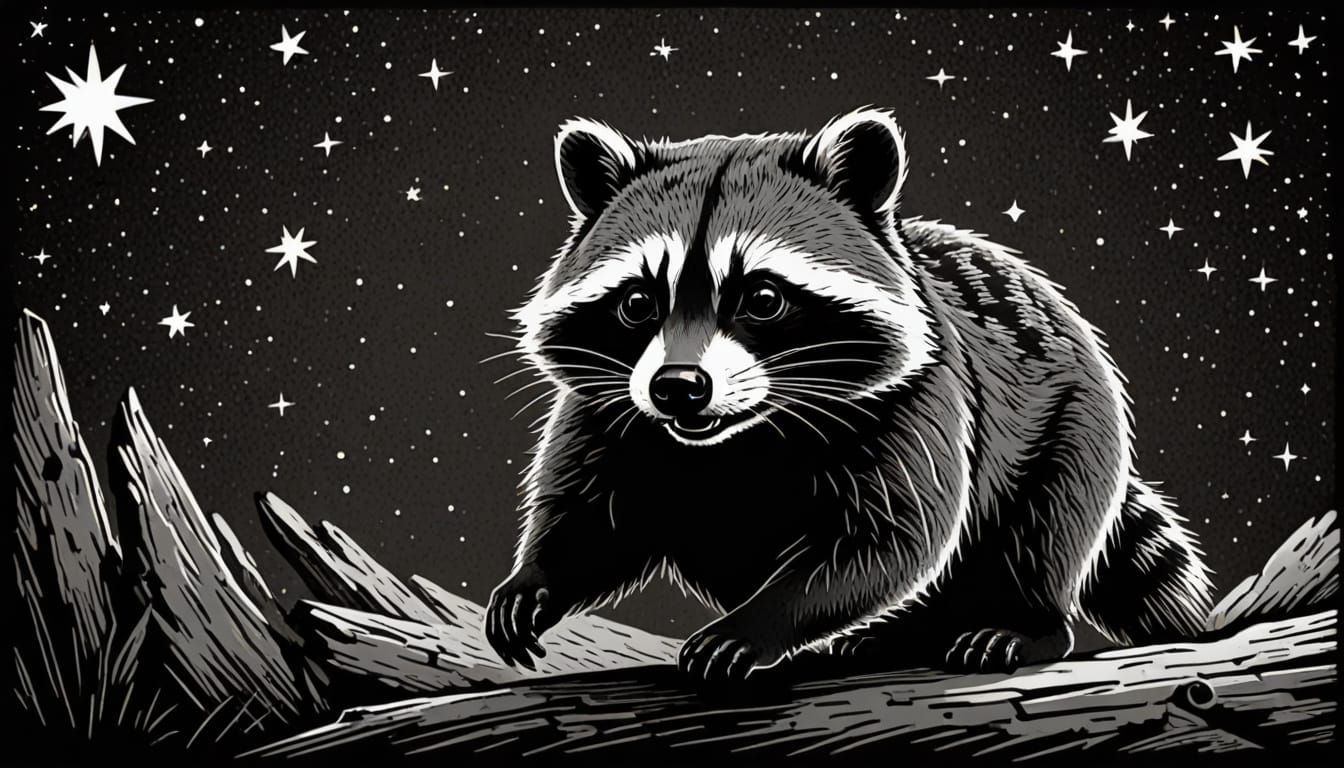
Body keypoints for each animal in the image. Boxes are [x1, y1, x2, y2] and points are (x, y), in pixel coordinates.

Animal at [485, 107, 1215, 682]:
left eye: (762, 298)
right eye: (638, 302)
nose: (678, 388)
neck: (734, 440)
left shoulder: (922, 398)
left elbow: (885, 539)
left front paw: (759, 622)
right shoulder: (609, 410)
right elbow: (591, 519)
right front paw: (536, 581)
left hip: (1077, 422)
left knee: (1043, 531)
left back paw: (1024, 622)